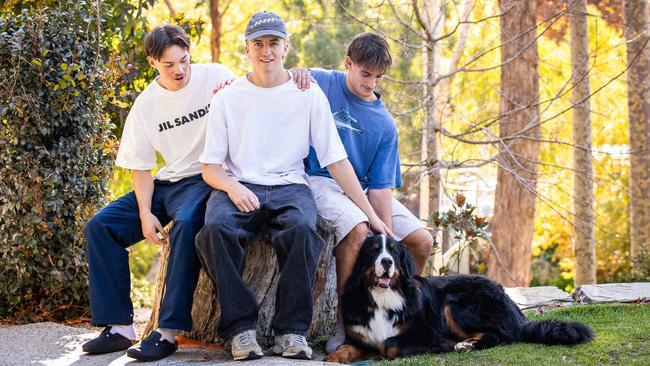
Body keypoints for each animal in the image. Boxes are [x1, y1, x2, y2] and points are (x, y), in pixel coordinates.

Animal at [324, 234, 592, 364]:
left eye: (393, 251)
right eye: (373, 251)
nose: (387, 262)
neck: (383, 298)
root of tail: (511, 301)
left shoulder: (424, 333)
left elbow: (388, 343)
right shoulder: (360, 334)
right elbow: (346, 347)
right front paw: (334, 357)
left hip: (455, 304)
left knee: (500, 336)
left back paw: (465, 344)